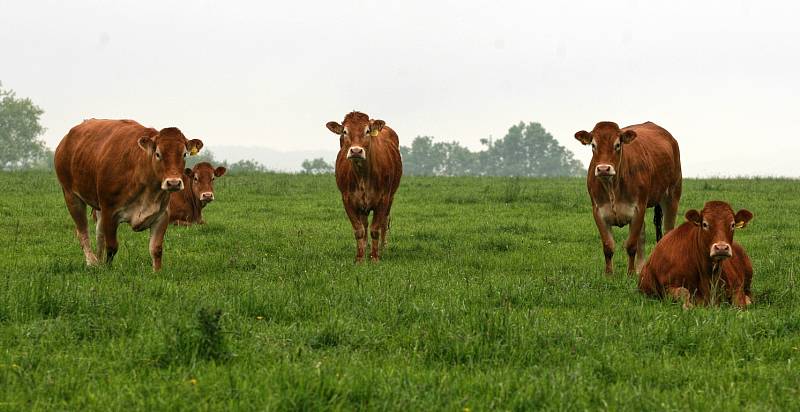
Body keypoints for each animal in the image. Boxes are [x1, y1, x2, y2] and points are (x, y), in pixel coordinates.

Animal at [324, 111, 404, 262]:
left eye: (367, 131)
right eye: (345, 131)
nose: (356, 151)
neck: (362, 175)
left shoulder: (383, 199)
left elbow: (375, 229)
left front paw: (375, 258)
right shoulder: (348, 200)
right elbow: (359, 230)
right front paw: (360, 258)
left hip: (391, 196)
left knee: (384, 221)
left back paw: (382, 248)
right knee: (365, 224)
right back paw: (366, 248)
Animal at [576, 120, 680, 276]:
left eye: (617, 145)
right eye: (593, 145)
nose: (603, 169)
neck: (612, 188)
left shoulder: (638, 209)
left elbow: (631, 245)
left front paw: (630, 273)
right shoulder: (598, 211)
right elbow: (608, 246)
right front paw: (609, 274)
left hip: (672, 195)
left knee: (668, 231)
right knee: (642, 234)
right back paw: (640, 268)